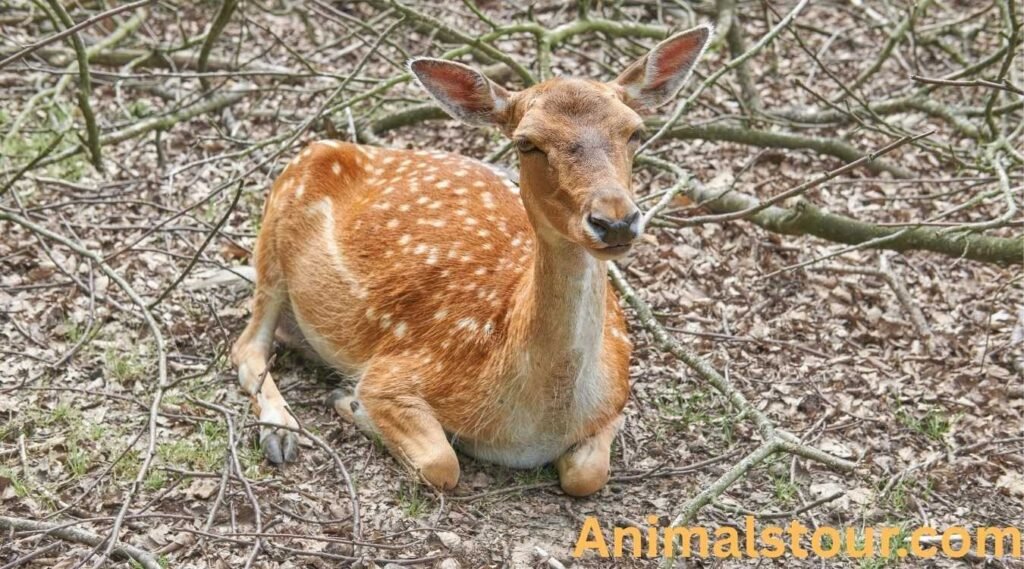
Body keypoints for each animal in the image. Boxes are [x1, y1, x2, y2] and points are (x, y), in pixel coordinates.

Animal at [230, 25, 712, 497]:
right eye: (527, 142)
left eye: (634, 131)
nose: (615, 221)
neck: (538, 421)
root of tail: (323, 145)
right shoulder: (394, 374)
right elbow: (441, 463)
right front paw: (349, 402)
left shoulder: (618, 392)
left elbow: (588, 474)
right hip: (273, 231)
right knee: (248, 345)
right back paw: (280, 432)